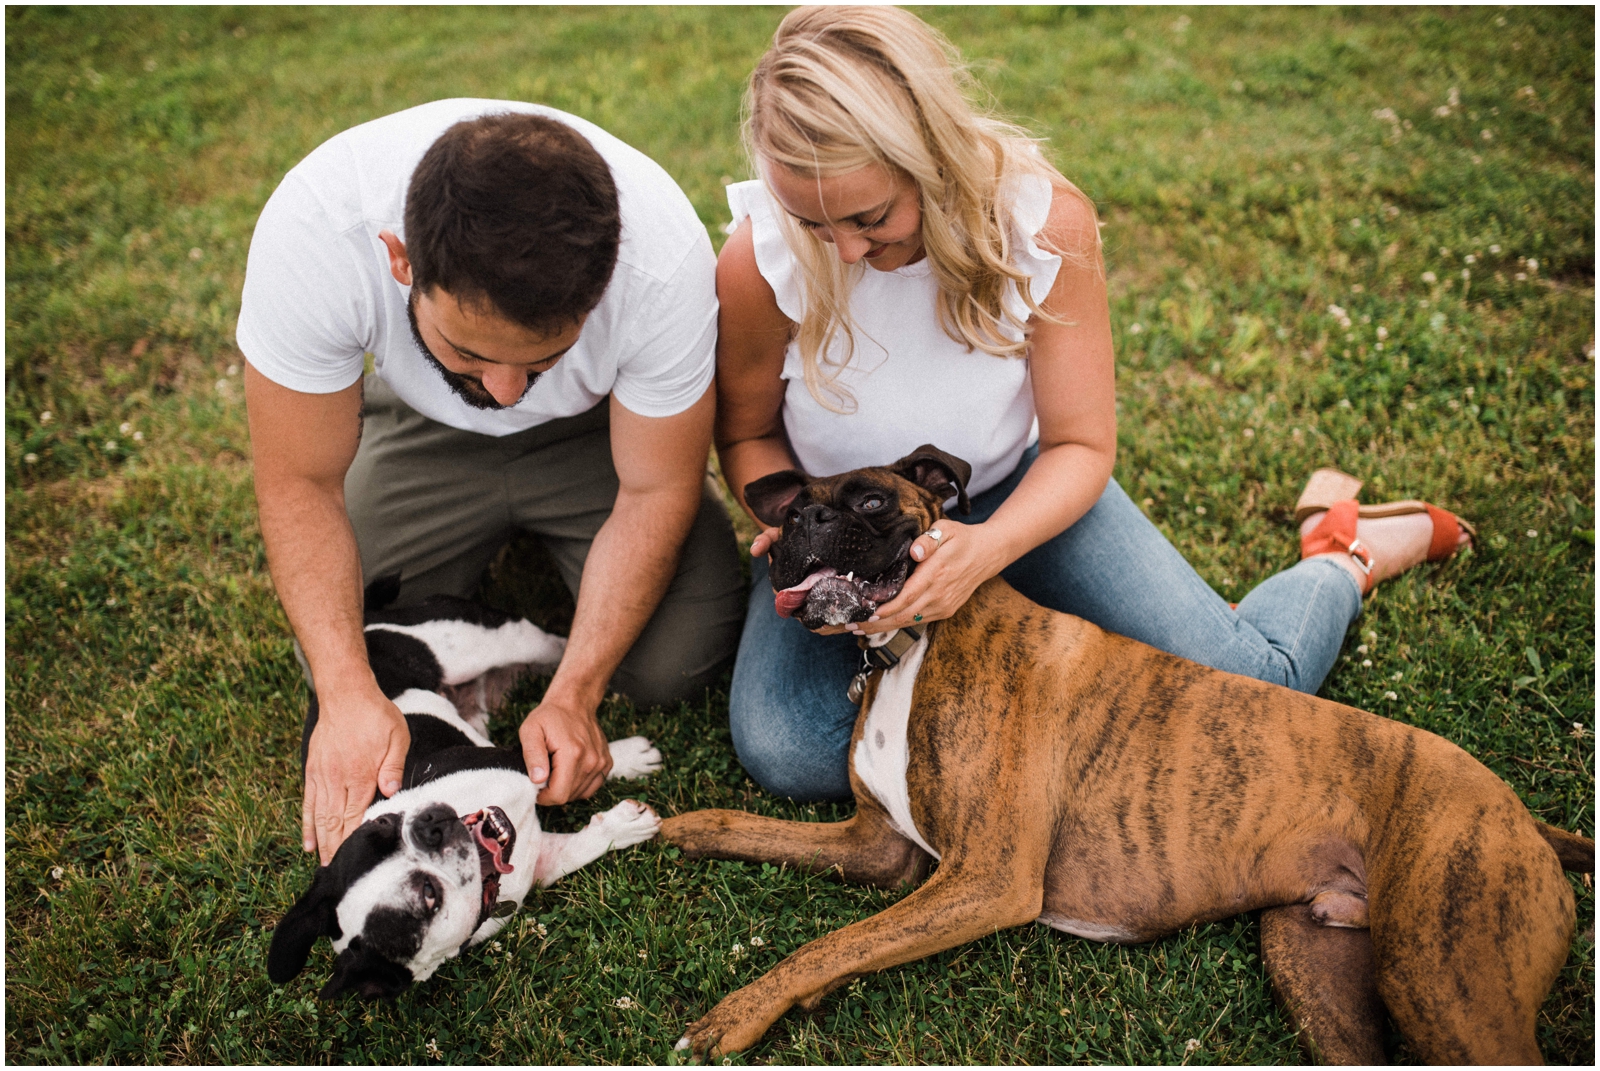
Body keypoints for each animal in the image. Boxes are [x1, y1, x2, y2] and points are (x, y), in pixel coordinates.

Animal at [268, 598, 656, 998]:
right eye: (429, 895)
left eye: (384, 824)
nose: (428, 828)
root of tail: (369, 620)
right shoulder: (540, 862)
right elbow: (577, 848)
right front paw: (628, 824)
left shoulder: (514, 761)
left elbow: (550, 763)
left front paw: (625, 761)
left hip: (487, 642)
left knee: (555, 647)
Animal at [659, 441, 1587, 1062]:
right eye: (790, 510)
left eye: (874, 504)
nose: (804, 519)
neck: (913, 642)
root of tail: (1519, 812)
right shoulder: (879, 848)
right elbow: (752, 828)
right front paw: (672, 826)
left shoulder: (985, 877)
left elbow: (830, 945)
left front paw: (737, 1014)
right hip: (1315, 964)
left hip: (1439, 977)